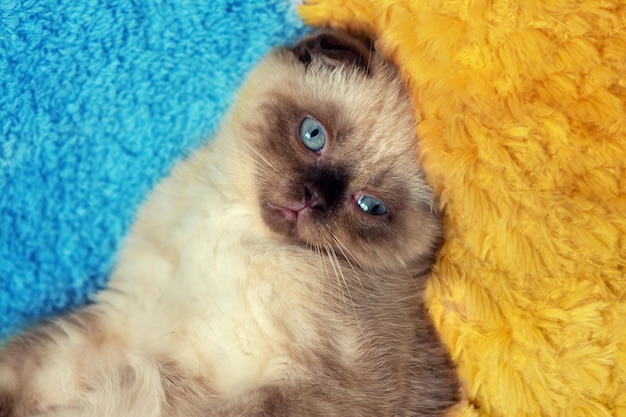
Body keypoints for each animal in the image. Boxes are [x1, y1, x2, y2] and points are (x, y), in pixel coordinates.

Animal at [0, 30, 458, 416]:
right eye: (313, 135)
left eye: (369, 205)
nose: (312, 198)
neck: (232, 226)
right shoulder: (122, 323)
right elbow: (25, 369)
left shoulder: (318, 388)